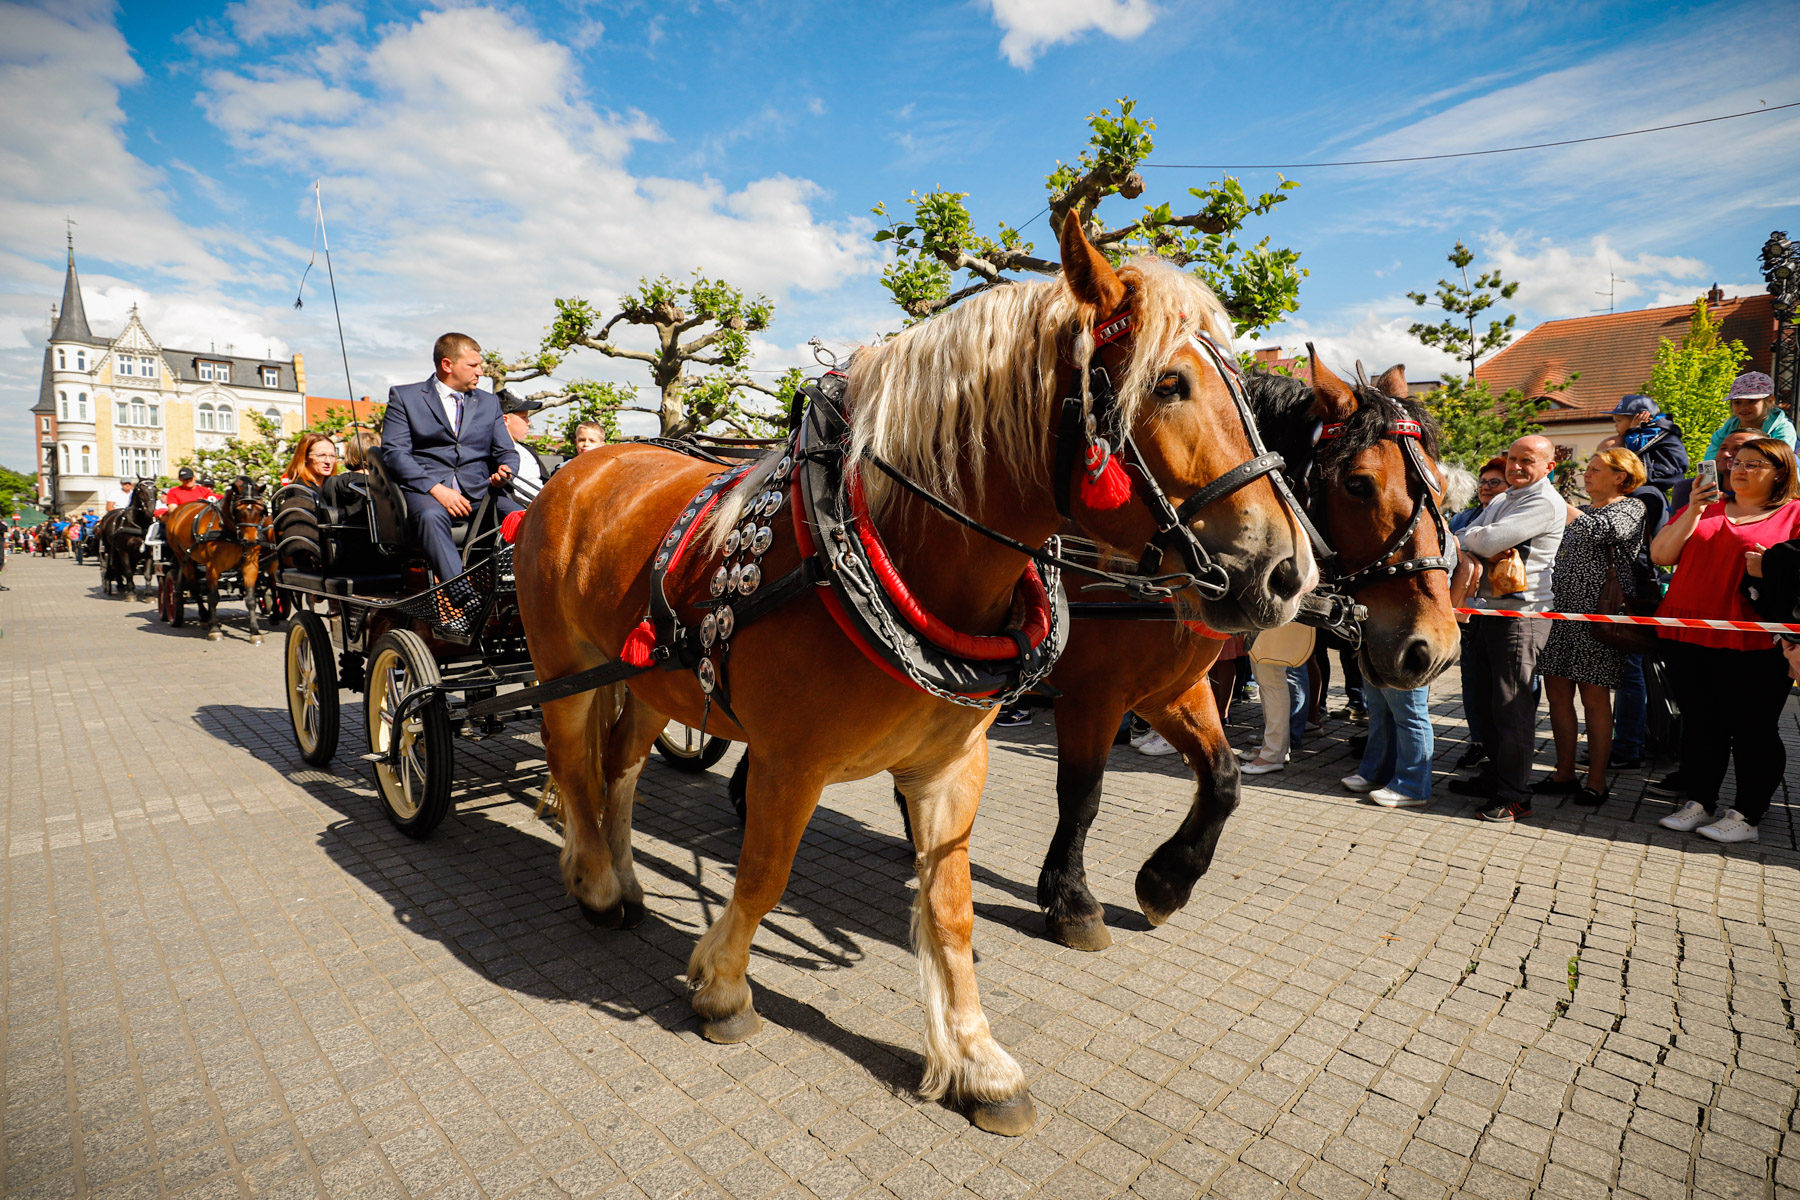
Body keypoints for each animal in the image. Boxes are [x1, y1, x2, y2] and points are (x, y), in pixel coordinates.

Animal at [162, 478, 270, 647]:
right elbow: (213, 597)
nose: (251, 540)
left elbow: (250, 599)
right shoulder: (212, 567)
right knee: (194, 589)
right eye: (238, 510)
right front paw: (215, 630)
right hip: (184, 559)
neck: (230, 530)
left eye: (260, 510)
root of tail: (177, 511)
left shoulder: (250, 566)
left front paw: (255, 632)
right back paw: (204, 617)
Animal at [514, 218, 1317, 1137]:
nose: (1289, 571)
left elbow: (952, 906)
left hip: (655, 681)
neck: (894, 551)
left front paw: (978, 1060)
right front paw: (721, 987)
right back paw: (595, 879)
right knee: (573, 765)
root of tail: (583, 467)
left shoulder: (953, 763)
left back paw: (623, 873)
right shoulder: (793, 761)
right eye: (1171, 384)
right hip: (567, 668)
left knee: (620, 767)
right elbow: (764, 873)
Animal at [1029, 361, 1461, 949]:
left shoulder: (1172, 689)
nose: (1434, 649)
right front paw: (1070, 898)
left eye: (1439, 484)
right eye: (1358, 483)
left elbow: (1224, 780)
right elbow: (1081, 795)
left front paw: (1168, 879)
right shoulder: (1092, 695)